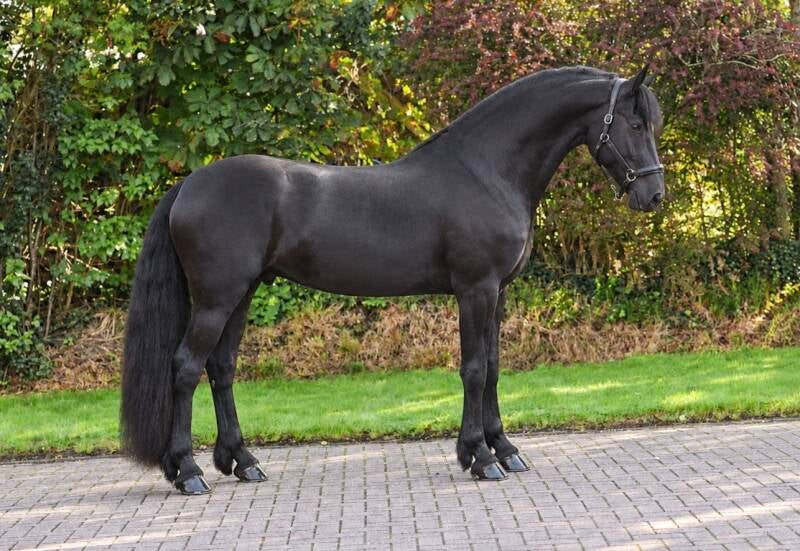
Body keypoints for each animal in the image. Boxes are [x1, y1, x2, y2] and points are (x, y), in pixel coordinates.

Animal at [121, 65, 665, 495]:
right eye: (635, 123)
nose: (655, 196)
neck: (487, 171)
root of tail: (190, 184)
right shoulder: (476, 290)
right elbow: (473, 369)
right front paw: (479, 458)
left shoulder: (498, 294)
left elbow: (492, 368)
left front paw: (505, 450)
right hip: (217, 298)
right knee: (185, 367)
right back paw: (188, 472)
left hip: (242, 294)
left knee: (222, 368)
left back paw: (242, 462)